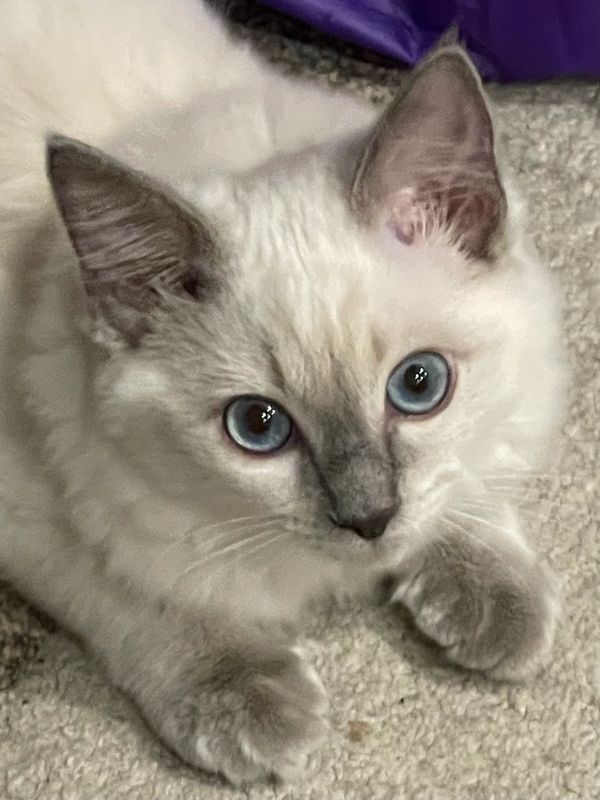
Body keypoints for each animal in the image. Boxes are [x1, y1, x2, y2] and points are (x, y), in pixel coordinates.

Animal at [0, 0, 568, 784]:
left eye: (419, 385)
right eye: (258, 427)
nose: (369, 519)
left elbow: (469, 485)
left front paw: (496, 604)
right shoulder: (34, 501)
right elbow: (133, 586)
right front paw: (247, 701)